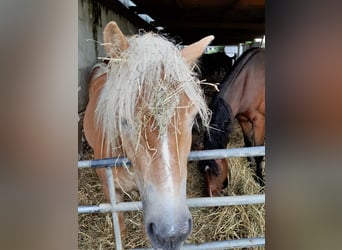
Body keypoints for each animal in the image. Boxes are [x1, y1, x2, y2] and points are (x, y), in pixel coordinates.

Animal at [199, 47, 266, 196]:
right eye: (202, 173)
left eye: (217, 172)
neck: (248, 82)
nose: (212, 197)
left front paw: (260, 181)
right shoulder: (243, 120)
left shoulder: (259, 122)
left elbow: (258, 152)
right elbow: (248, 145)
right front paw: (250, 169)